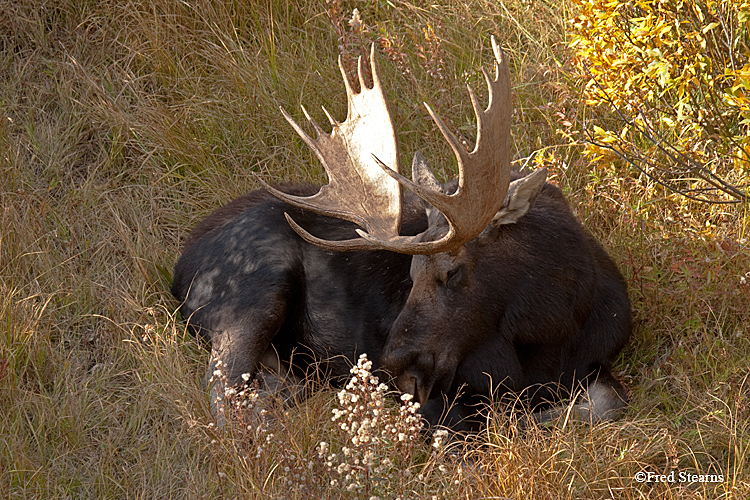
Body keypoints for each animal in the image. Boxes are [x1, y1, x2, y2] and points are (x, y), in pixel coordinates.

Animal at [173, 37, 632, 432]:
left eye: (453, 272)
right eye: (409, 274)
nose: (393, 366)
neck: (555, 327)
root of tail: (176, 272)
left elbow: (610, 402)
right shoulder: (447, 390)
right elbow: (474, 426)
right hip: (253, 295)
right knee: (223, 395)